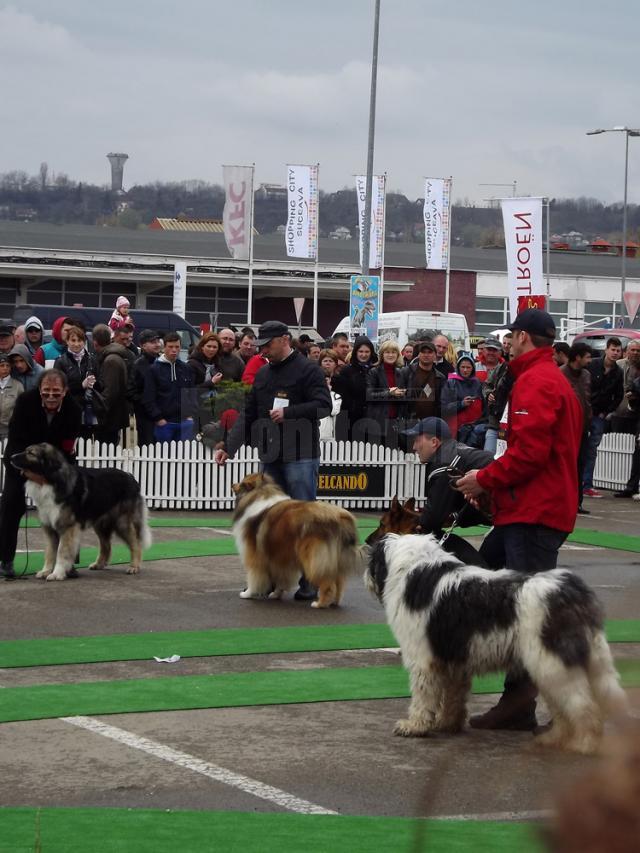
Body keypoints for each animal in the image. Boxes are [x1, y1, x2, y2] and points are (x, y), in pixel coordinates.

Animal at [11, 442, 152, 584]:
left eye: (30, 453)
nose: (11, 457)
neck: (51, 480)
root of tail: (131, 477)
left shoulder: (67, 527)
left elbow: (61, 552)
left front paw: (57, 573)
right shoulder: (50, 527)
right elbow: (50, 552)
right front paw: (46, 571)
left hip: (122, 522)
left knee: (135, 544)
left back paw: (134, 567)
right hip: (101, 524)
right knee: (106, 545)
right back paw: (99, 564)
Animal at [368, 532, 628, 752]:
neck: (416, 568)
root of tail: (574, 593)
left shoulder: (424, 659)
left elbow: (423, 696)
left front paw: (414, 726)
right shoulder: (455, 660)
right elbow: (454, 695)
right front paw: (447, 723)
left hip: (553, 663)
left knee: (584, 705)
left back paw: (584, 743)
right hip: (555, 663)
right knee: (566, 707)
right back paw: (554, 738)